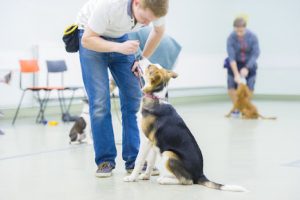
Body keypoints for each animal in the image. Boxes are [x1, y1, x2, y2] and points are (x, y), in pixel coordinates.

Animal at [123, 64, 246, 192]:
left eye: (148, 67)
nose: (137, 62)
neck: (155, 97)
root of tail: (200, 174)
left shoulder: (145, 140)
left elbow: (139, 160)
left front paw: (131, 178)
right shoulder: (153, 143)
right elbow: (151, 162)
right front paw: (146, 176)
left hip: (168, 154)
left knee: (187, 181)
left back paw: (164, 180)